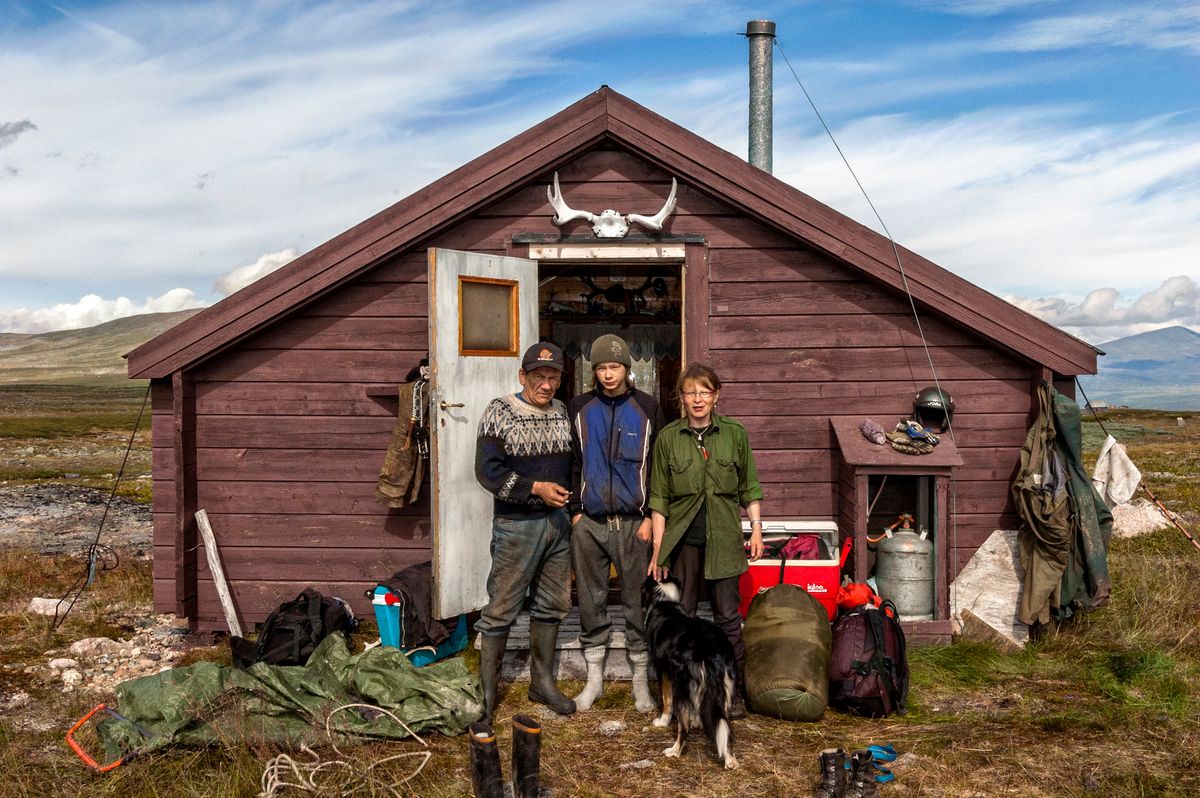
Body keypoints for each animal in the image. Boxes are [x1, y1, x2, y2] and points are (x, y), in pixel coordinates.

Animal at [643, 576, 734, 768]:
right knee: (725, 725)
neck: (665, 602)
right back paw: (730, 760)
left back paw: (674, 751)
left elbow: (666, 700)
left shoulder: (663, 671)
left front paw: (662, 721)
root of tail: (710, 646)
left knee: (683, 726)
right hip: (725, 687)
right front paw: (698, 720)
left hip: (680, 684)